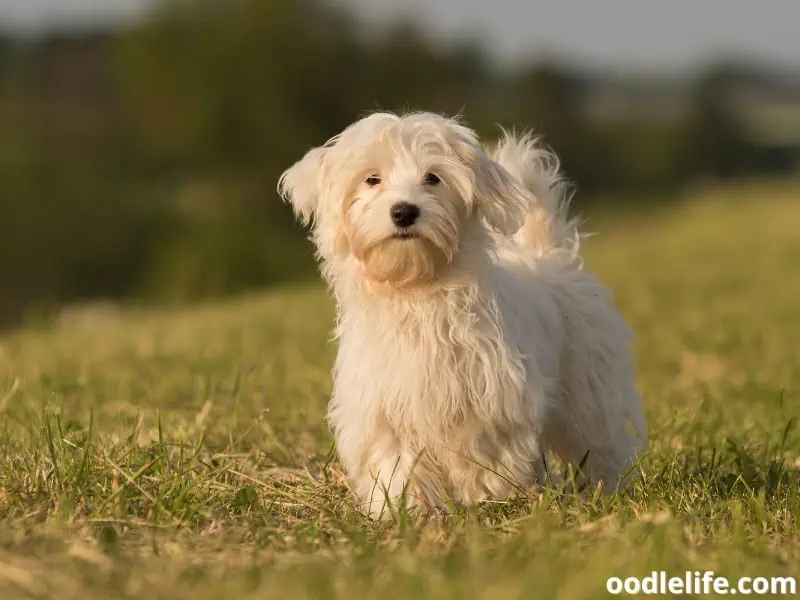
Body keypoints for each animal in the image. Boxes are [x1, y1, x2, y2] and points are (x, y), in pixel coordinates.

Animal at [278, 113, 648, 520]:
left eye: (433, 178)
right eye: (372, 179)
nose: (404, 211)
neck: (416, 291)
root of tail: (549, 254)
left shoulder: (492, 397)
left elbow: (482, 450)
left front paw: (485, 497)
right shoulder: (382, 407)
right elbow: (396, 462)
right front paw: (410, 511)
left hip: (589, 384)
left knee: (599, 439)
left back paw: (606, 488)